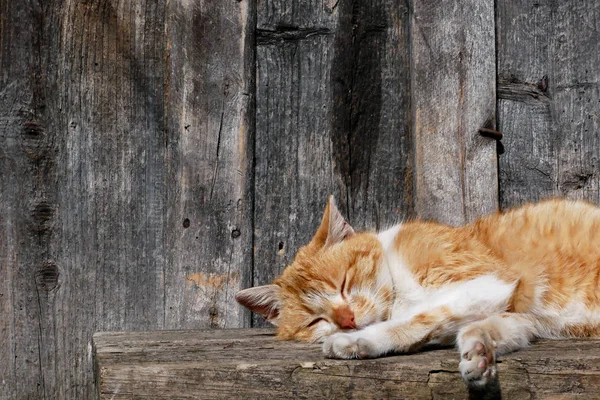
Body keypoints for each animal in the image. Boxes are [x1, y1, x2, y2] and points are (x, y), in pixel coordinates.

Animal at [234, 197, 600, 388]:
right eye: (315, 321)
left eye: (344, 283)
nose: (347, 320)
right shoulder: (516, 315)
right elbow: (474, 328)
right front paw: (479, 355)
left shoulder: (490, 280)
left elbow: (421, 317)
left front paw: (355, 340)